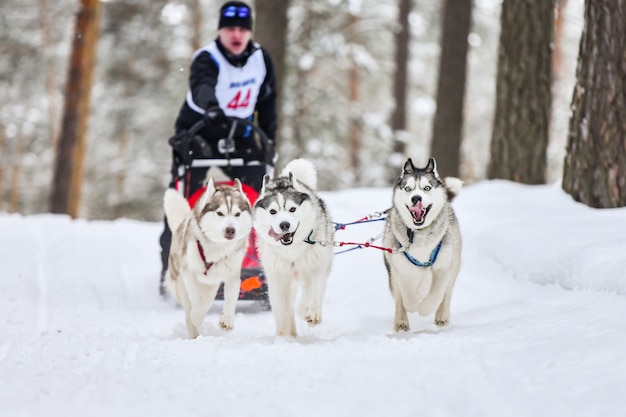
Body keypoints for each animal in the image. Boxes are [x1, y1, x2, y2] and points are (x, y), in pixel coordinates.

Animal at [163, 178, 251, 338]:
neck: (217, 249)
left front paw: (227, 319)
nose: (230, 230)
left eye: (237, 214)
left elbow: (231, 298)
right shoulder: (189, 272)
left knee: (208, 300)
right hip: (180, 284)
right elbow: (198, 302)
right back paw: (194, 332)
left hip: (211, 284)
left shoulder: (232, 275)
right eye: (220, 213)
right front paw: (197, 317)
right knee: (190, 310)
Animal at [252, 158, 334, 336]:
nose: (284, 225)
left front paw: (311, 313)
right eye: (273, 211)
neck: (292, 252)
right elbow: (282, 310)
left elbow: (313, 293)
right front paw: (282, 335)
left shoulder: (316, 268)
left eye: (292, 209)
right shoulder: (278, 278)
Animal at [380, 157, 464, 332]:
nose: (416, 198)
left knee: (446, 294)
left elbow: (436, 294)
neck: (419, 234)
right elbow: (406, 293)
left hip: (454, 265)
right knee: (400, 299)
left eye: (427, 188)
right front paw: (412, 305)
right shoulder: (399, 266)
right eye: (408, 189)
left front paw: (425, 308)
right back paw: (401, 322)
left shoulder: (444, 267)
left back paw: (442, 317)